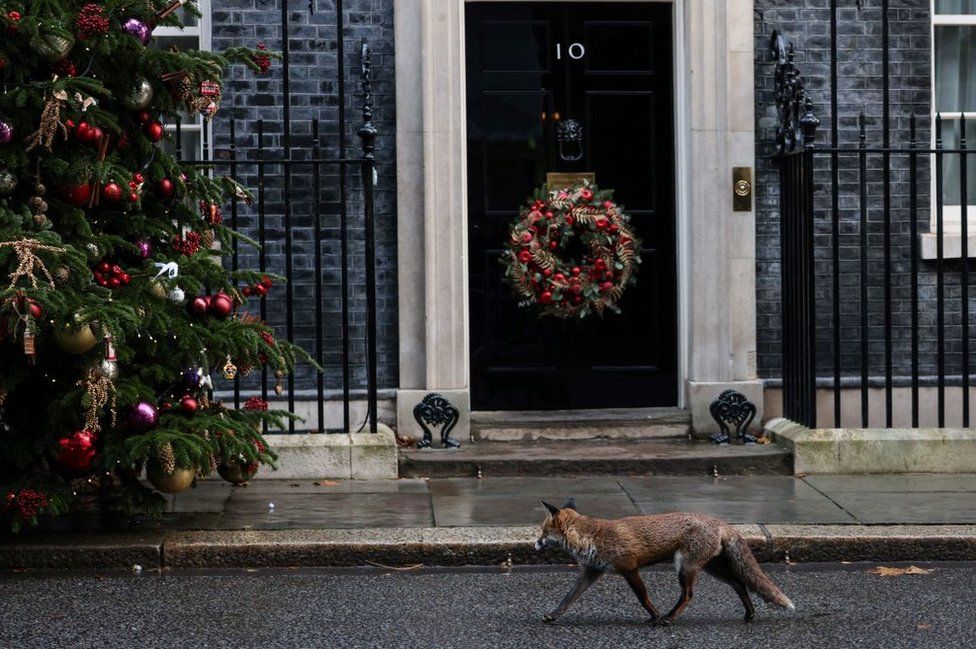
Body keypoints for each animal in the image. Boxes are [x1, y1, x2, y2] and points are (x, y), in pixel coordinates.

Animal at [532, 496, 792, 624]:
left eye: (543, 532)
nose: (535, 544)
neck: (591, 537)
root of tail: (719, 522)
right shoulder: (591, 572)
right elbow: (568, 598)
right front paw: (553, 615)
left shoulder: (629, 568)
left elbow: (643, 597)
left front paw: (655, 616)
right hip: (712, 569)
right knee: (740, 584)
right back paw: (749, 615)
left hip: (685, 567)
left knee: (688, 595)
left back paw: (668, 618)